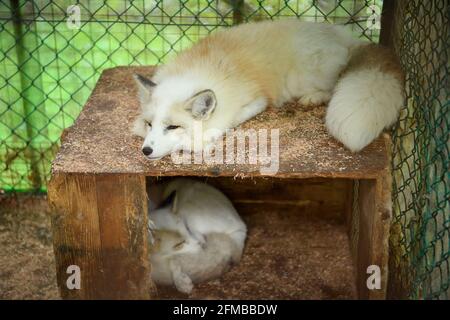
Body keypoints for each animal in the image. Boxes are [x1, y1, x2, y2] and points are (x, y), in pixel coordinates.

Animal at [133, 19, 404, 158]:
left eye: (173, 127)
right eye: (149, 124)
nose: (146, 151)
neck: (200, 71)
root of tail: (342, 35)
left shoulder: (258, 101)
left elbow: (227, 123)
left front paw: (202, 140)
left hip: (301, 76)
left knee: (331, 85)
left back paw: (313, 98)